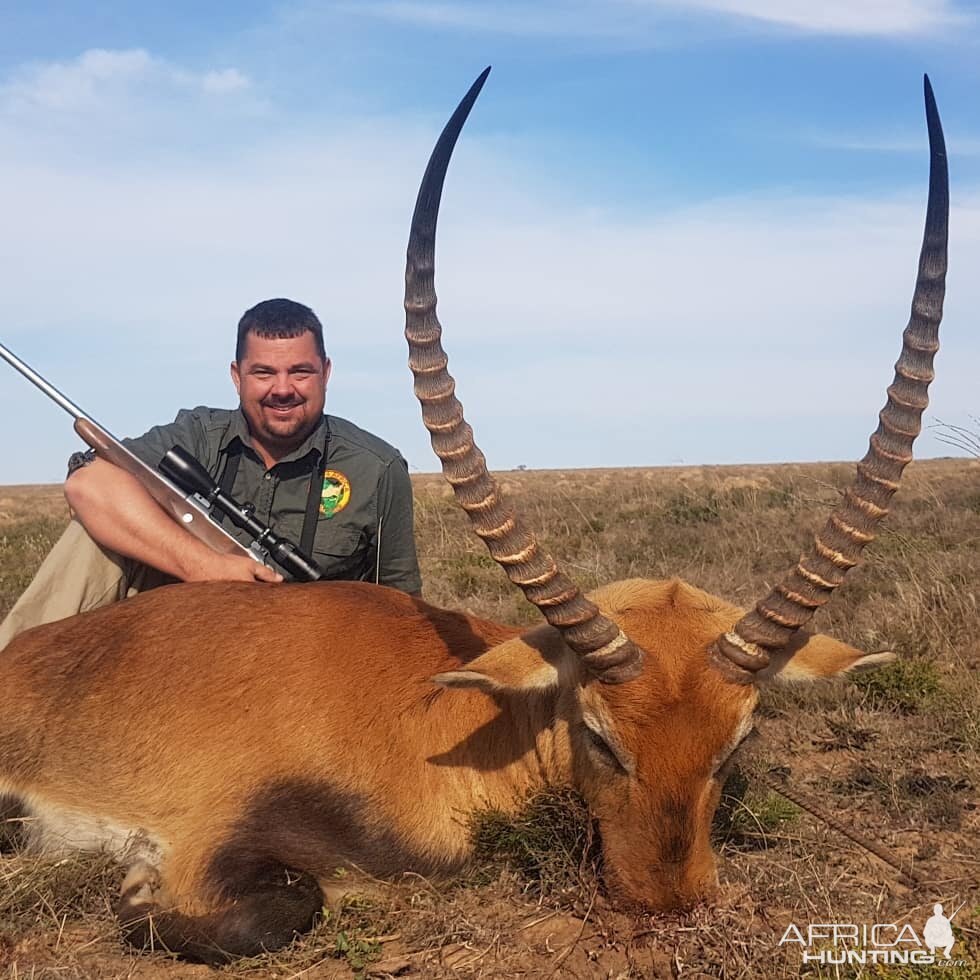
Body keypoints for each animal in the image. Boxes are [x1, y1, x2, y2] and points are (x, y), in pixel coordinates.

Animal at [0, 72, 948, 960]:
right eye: (599, 735)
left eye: (737, 742)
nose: (668, 905)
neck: (437, 716)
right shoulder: (214, 838)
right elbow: (275, 906)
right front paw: (135, 892)